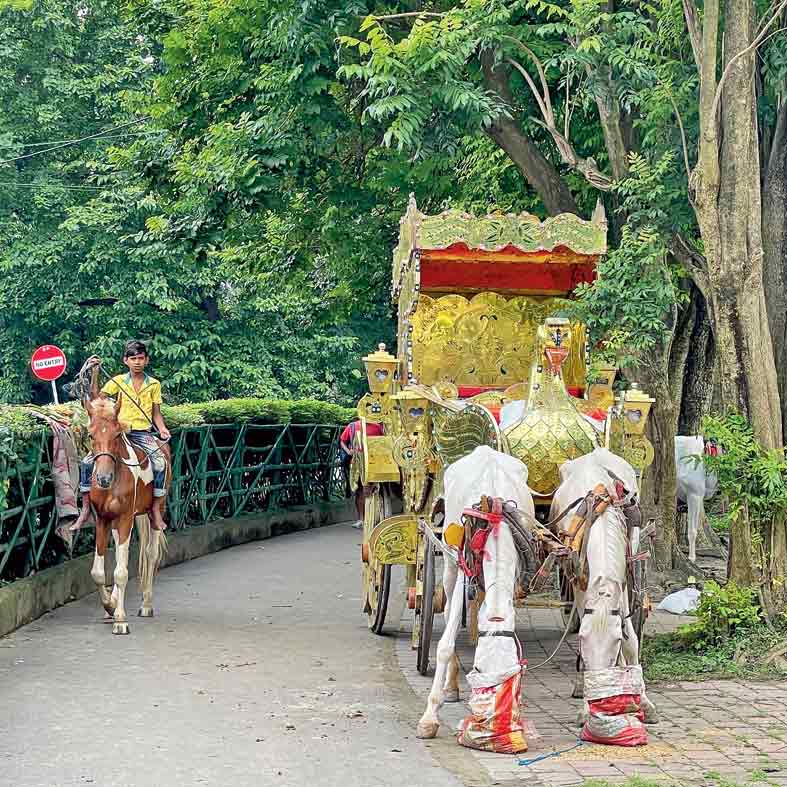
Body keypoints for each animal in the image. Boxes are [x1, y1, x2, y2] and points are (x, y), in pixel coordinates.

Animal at [85, 400, 171, 636]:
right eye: (90, 435)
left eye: (116, 435)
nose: (103, 478)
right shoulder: (102, 520)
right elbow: (98, 572)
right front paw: (110, 606)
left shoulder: (125, 519)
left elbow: (121, 572)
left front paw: (120, 620)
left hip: (155, 511)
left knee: (151, 553)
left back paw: (146, 605)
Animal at [412, 446, 536, 740]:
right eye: (480, 670)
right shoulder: (463, 566)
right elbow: (445, 645)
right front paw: (429, 716)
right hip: (449, 560)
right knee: (447, 609)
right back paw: (451, 685)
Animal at [556, 450, 660, 728]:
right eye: (583, 640)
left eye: (614, 641)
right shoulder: (581, 584)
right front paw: (585, 706)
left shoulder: (623, 581)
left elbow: (631, 641)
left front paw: (644, 702)